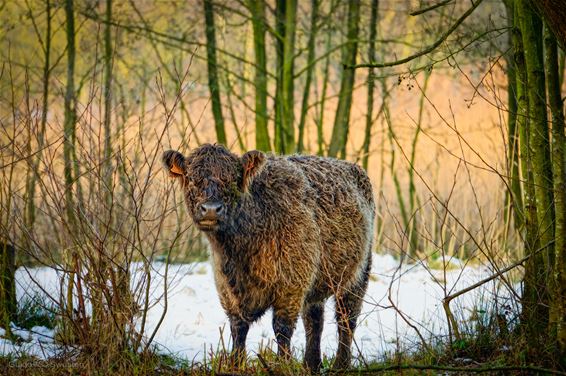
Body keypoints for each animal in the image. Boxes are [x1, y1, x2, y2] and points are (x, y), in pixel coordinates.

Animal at [164, 144, 378, 370]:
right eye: (191, 178)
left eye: (233, 179)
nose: (211, 209)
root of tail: (351, 166)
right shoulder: (227, 289)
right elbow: (238, 328)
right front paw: (236, 364)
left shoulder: (291, 285)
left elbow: (282, 329)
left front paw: (283, 365)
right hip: (317, 281)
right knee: (314, 321)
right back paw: (311, 364)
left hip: (358, 274)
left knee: (346, 319)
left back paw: (340, 364)